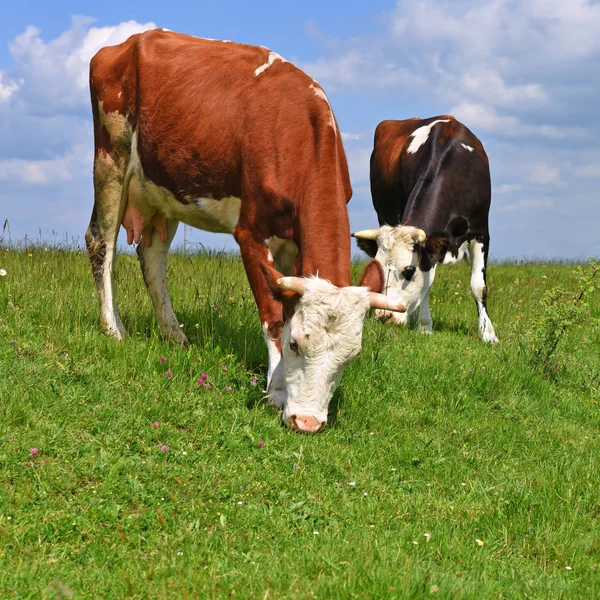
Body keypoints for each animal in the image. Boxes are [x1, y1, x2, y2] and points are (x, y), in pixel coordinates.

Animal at [85, 29, 404, 432]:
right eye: (296, 344)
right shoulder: (251, 233)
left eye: (350, 357)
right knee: (101, 243)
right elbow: (273, 317)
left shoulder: (293, 245)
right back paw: (114, 329)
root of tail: (127, 42)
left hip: (164, 187)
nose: (308, 421)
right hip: (111, 158)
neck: (298, 133)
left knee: (152, 256)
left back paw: (175, 335)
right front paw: (277, 391)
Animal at [354, 116, 500, 342]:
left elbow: (479, 286)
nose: (384, 316)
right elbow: (427, 284)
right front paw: (424, 326)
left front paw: (488, 334)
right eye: (378, 268)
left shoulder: (482, 232)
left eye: (409, 271)